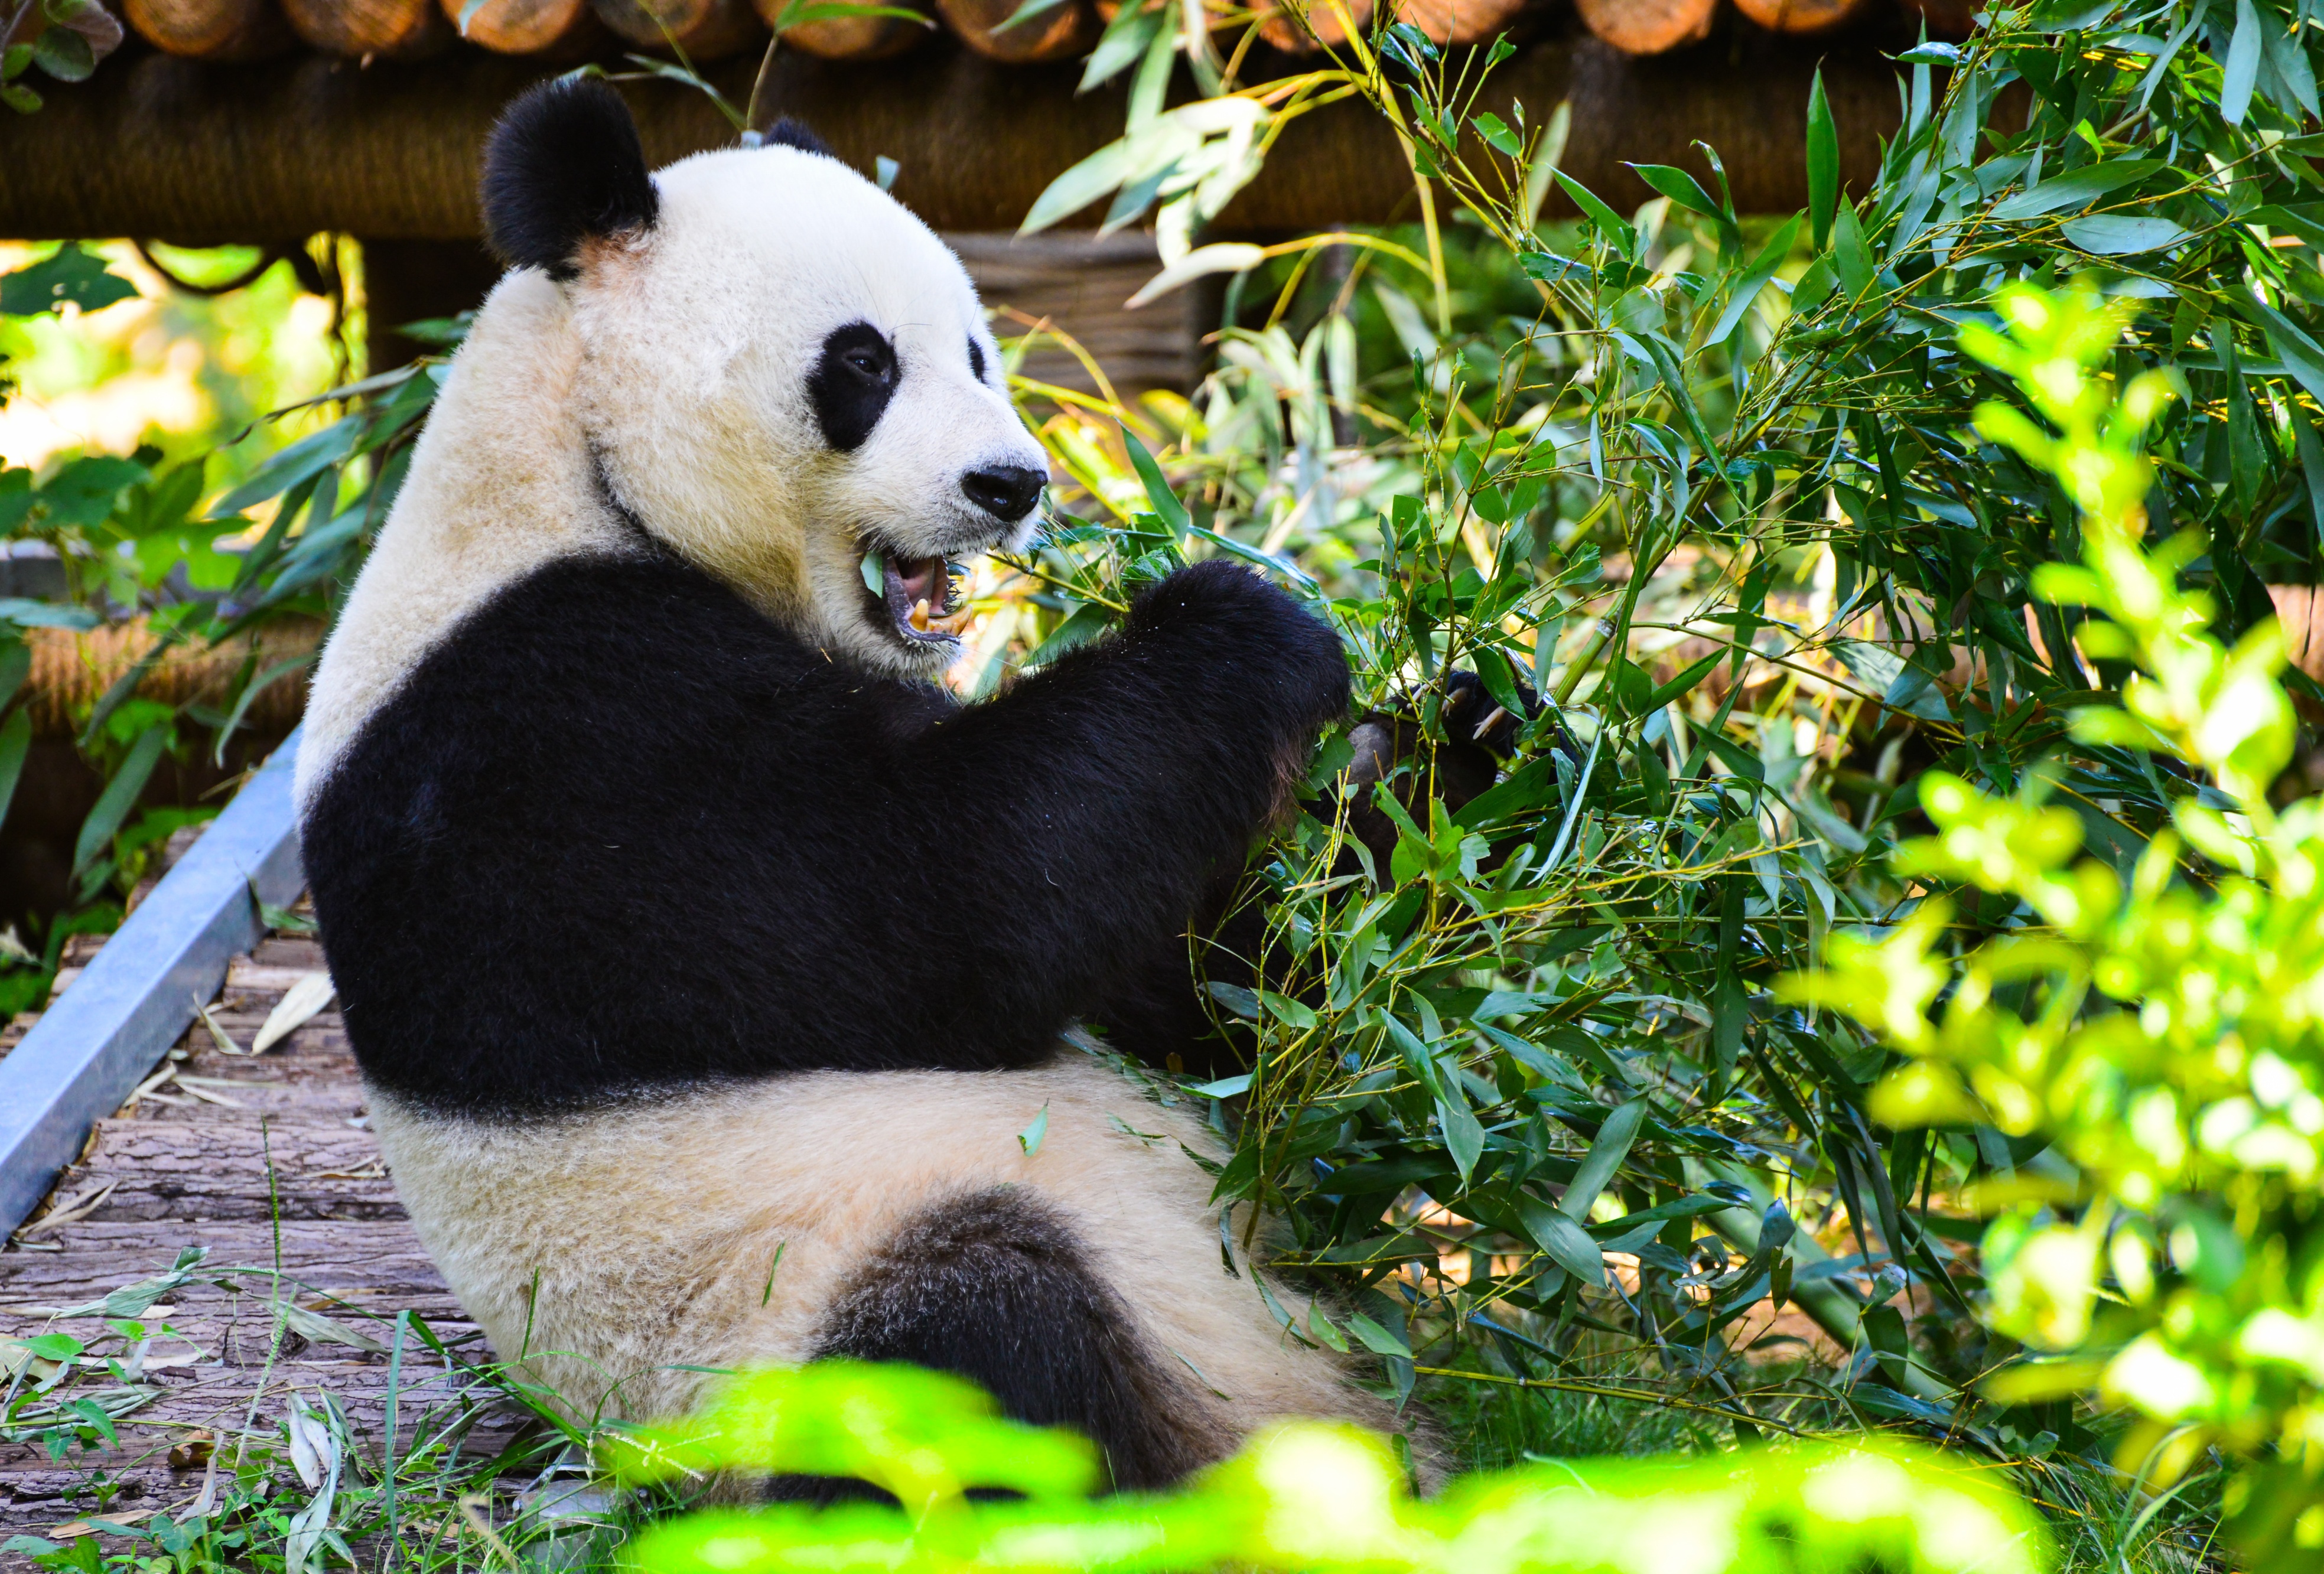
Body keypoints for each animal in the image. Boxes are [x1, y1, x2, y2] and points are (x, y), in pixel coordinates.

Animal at [300, 83, 1404, 1488]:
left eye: (980, 353)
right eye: (863, 363)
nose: (1009, 484)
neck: (573, 460)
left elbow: (1187, 980)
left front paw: (1462, 762)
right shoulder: (538, 731)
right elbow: (948, 901)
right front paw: (1246, 620)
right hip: (774, 1315)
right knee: (979, 1335)